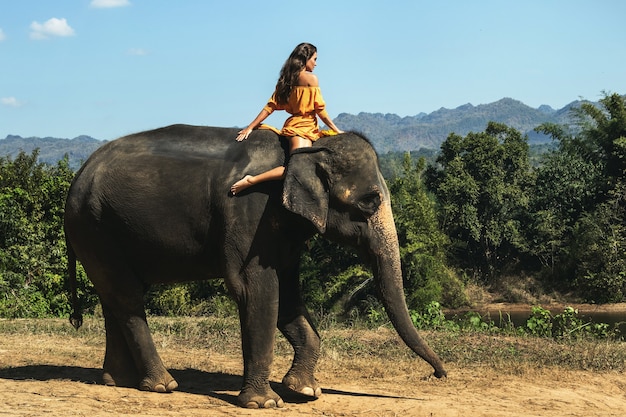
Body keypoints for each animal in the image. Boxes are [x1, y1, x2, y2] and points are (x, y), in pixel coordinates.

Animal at [64, 122, 444, 406]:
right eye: (369, 201)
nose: (439, 374)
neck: (304, 150)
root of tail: (77, 177)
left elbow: (288, 294)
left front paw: (305, 391)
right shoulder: (249, 212)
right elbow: (257, 288)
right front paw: (265, 403)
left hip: (100, 233)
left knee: (114, 297)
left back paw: (118, 381)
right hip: (95, 227)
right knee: (127, 297)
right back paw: (162, 385)